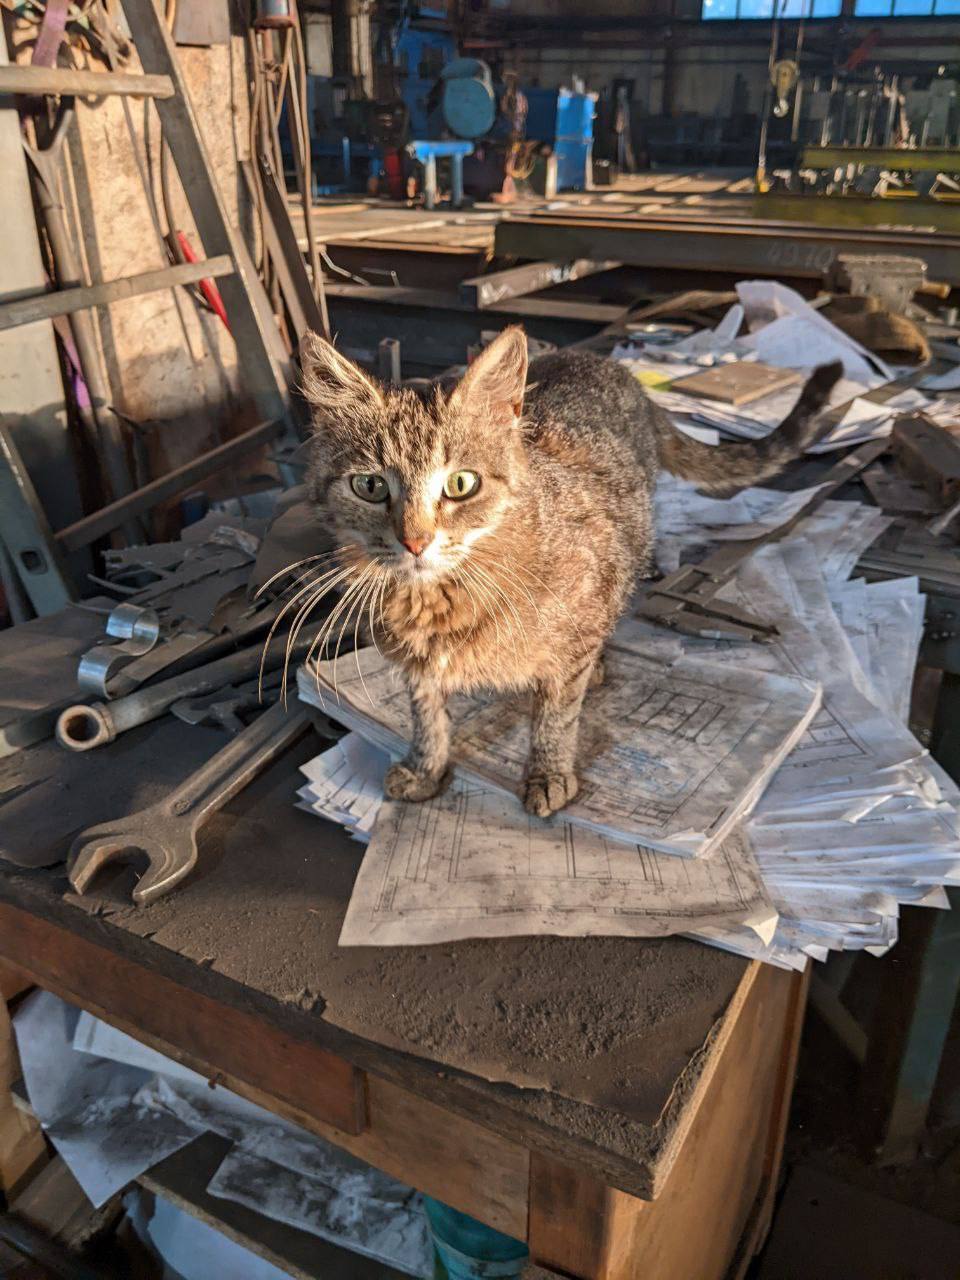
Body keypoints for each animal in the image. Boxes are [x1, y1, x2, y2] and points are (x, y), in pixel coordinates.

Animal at [302, 325, 839, 814]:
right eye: (370, 486)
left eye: (461, 484)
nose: (415, 541)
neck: (442, 598)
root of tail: (615, 368)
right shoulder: (416, 664)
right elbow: (426, 715)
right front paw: (425, 767)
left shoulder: (585, 602)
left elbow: (556, 714)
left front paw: (548, 771)